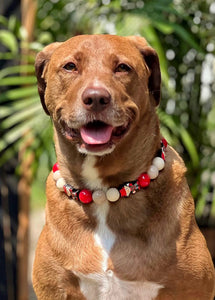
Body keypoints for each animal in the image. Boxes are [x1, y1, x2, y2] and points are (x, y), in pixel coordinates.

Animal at [32, 34, 215, 298]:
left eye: (122, 67)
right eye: (70, 66)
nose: (96, 98)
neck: (104, 193)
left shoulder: (190, 288)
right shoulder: (54, 288)